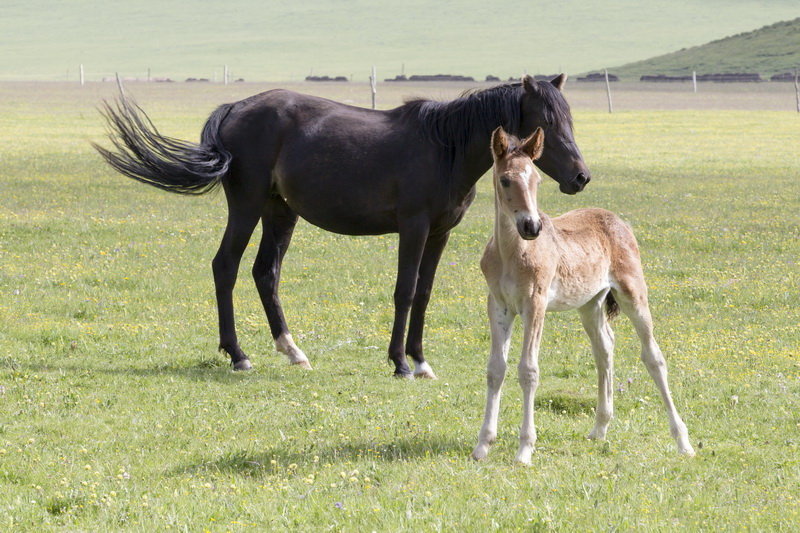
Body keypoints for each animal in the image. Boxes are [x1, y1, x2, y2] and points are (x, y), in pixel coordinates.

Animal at [97, 75, 592, 376]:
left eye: (569, 118)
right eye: (545, 120)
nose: (580, 177)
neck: (444, 148)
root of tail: (237, 107)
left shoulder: (440, 233)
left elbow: (425, 294)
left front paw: (421, 360)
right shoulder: (413, 228)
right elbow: (405, 291)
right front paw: (399, 363)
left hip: (280, 212)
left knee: (265, 273)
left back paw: (292, 350)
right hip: (247, 206)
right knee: (226, 267)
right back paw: (238, 355)